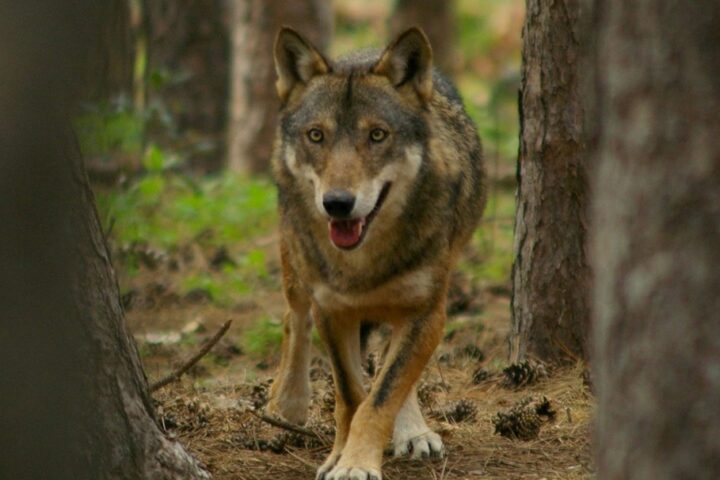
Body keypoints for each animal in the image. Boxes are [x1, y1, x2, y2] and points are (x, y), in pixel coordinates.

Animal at [264, 26, 486, 480]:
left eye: (377, 135)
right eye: (317, 135)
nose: (337, 203)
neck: (362, 263)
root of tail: (363, 51)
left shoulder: (426, 312)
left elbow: (382, 395)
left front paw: (358, 462)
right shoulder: (332, 311)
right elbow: (352, 396)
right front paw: (339, 457)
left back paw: (414, 431)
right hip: (295, 260)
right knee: (293, 317)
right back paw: (287, 403)